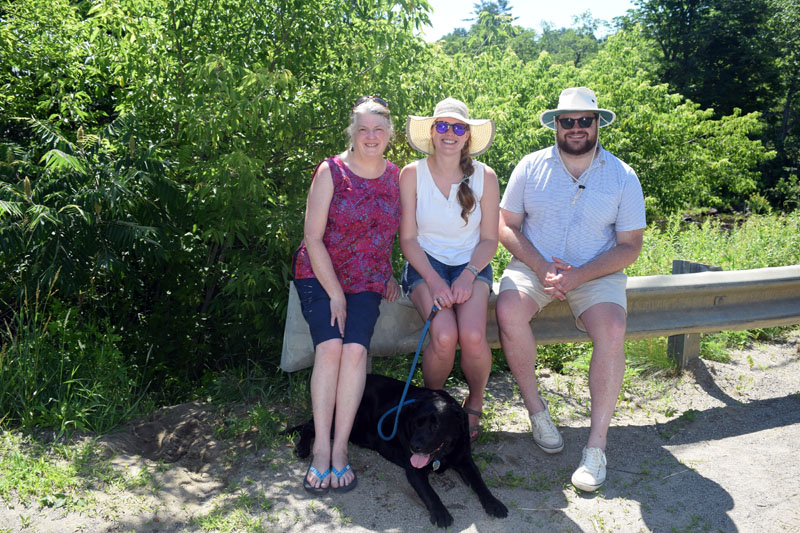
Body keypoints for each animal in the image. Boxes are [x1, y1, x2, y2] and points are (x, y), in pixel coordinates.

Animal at [290, 372, 510, 524]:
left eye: (436, 426)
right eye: (416, 423)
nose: (415, 446)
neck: (443, 455)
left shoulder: (465, 461)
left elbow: (480, 483)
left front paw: (494, 503)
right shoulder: (414, 471)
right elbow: (430, 493)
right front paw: (441, 513)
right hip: (344, 422)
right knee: (310, 427)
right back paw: (302, 448)